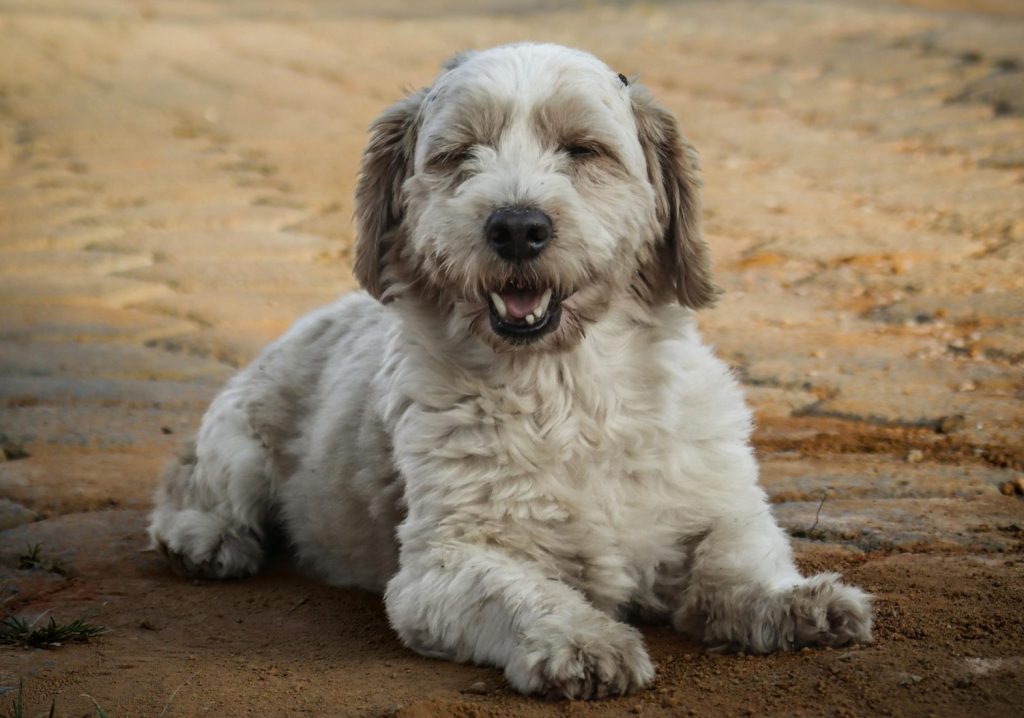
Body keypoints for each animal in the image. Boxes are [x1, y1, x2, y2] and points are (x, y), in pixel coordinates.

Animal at [149, 41, 872, 696]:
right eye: (460, 154)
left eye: (583, 150)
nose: (518, 226)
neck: (571, 389)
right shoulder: (445, 565)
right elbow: (524, 593)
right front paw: (582, 642)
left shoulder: (723, 505)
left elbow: (737, 559)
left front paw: (795, 603)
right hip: (238, 444)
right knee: (192, 489)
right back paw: (204, 538)